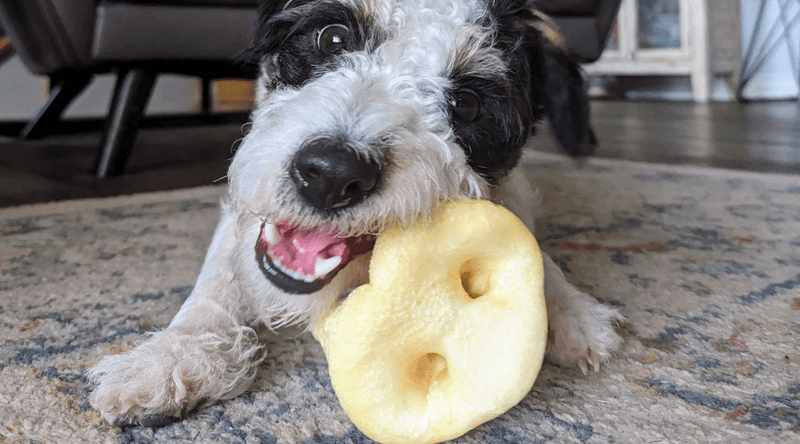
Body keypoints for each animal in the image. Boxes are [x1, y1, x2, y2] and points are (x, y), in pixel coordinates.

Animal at [89, 0, 624, 430]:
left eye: (468, 104)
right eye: (332, 37)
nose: (330, 173)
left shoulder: (511, 199)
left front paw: (570, 310)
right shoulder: (240, 220)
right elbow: (217, 279)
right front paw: (172, 356)